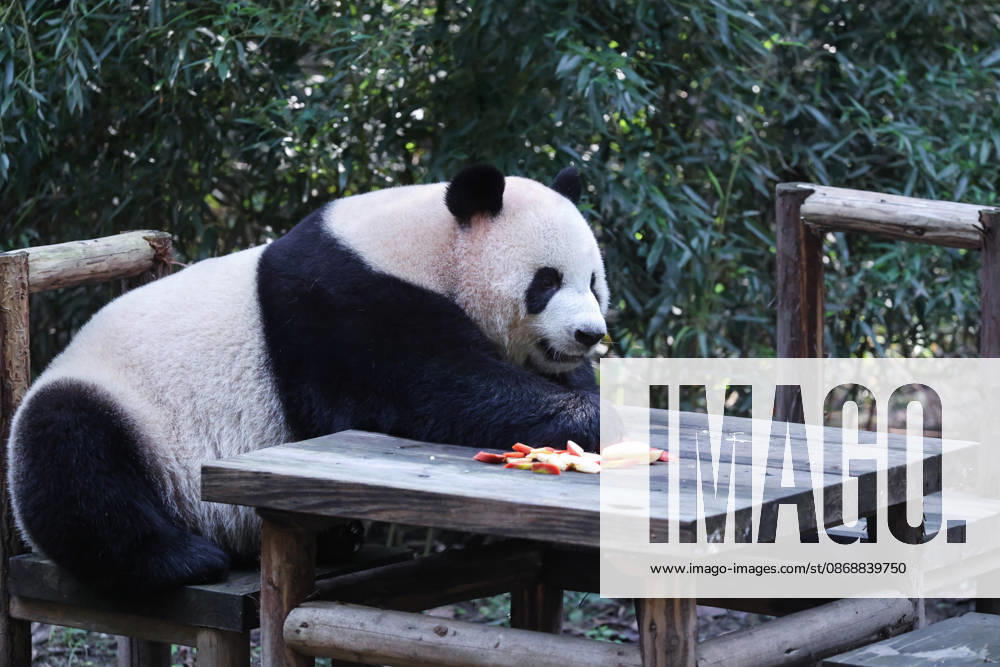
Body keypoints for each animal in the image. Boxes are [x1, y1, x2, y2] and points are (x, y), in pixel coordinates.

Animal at [6, 164, 610, 590]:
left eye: (593, 280)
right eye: (546, 281)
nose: (589, 334)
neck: (428, 246)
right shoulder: (343, 306)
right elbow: (436, 390)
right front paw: (596, 422)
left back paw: (339, 539)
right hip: (118, 411)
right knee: (75, 458)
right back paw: (184, 559)